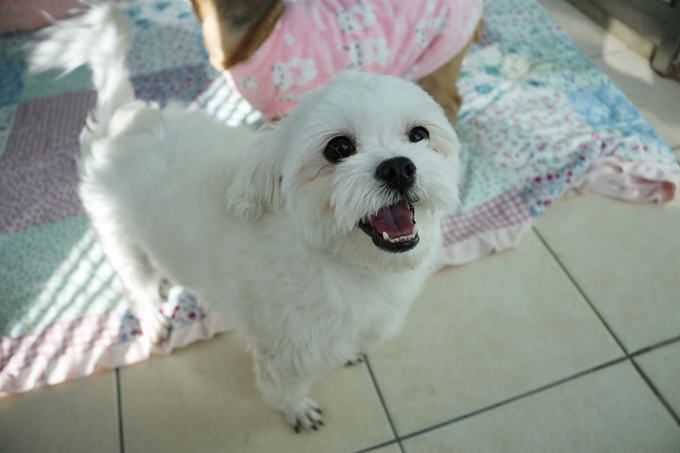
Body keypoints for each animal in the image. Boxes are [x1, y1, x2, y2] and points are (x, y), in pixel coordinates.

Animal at [29, 4, 460, 430]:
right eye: (338, 147)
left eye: (418, 134)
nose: (398, 167)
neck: (355, 269)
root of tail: (122, 119)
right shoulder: (286, 352)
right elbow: (284, 388)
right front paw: (296, 410)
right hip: (119, 234)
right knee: (136, 284)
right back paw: (152, 320)